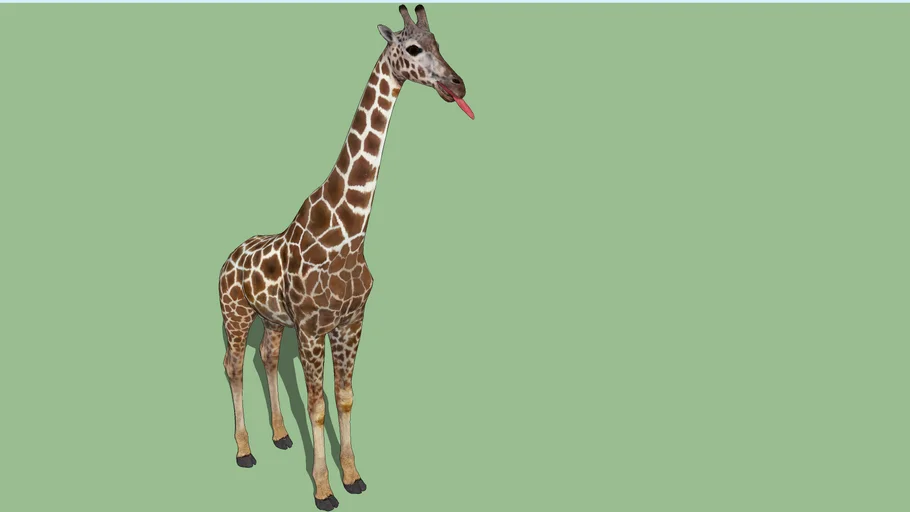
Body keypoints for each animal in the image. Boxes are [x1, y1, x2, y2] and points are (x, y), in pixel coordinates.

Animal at [217, 5, 472, 511]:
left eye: (439, 43)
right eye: (413, 48)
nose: (458, 85)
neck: (351, 231)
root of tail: (227, 258)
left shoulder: (351, 322)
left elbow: (346, 397)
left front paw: (353, 476)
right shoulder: (313, 328)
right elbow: (317, 406)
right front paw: (323, 490)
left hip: (271, 319)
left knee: (267, 358)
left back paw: (279, 436)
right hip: (235, 313)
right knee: (233, 366)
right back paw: (244, 450)